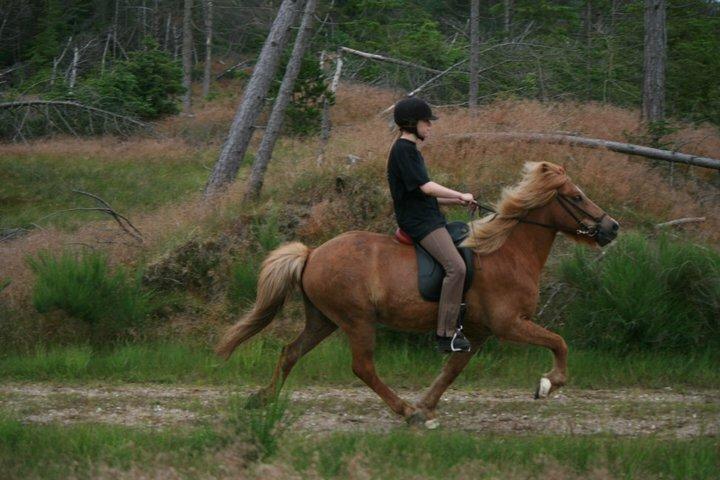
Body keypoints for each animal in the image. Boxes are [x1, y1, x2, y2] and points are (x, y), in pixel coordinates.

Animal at [214, 162, 620, 428]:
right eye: (576, 197)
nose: (612, 227)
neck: (505, 251)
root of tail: (312, 254)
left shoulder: (478, 333)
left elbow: (451, 370)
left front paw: (427, 406)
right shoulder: (509, 324)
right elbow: (559, 342)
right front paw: (549, 384)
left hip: (323, 319)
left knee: (290, 352)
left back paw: (263, 398)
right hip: (356, 320)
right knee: (362, 367)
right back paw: (404, 411)